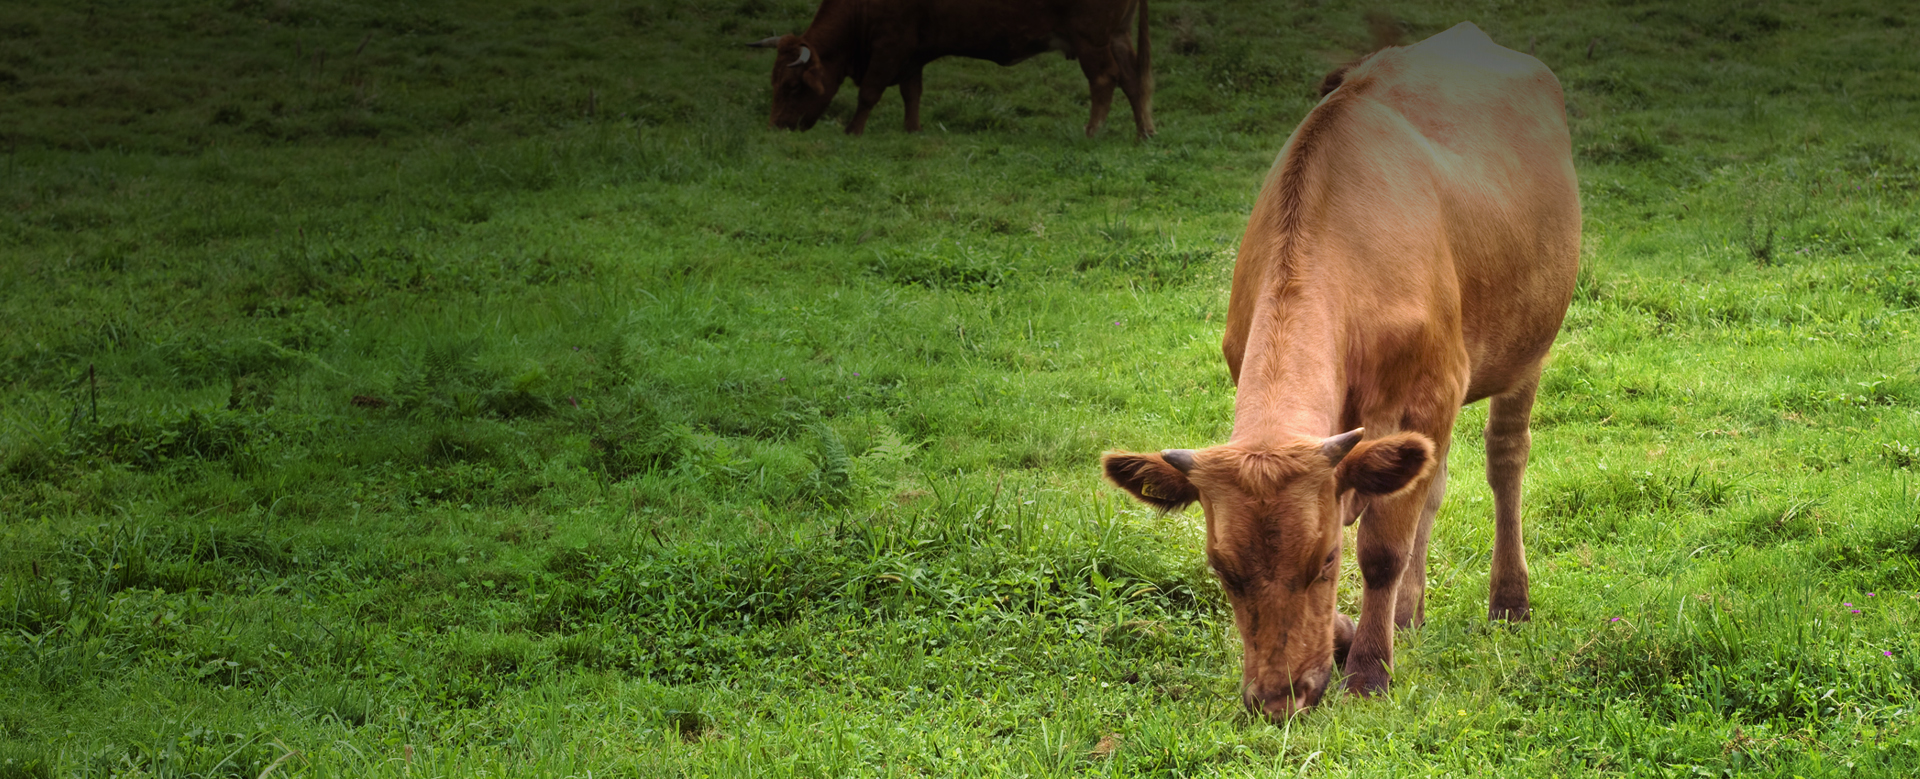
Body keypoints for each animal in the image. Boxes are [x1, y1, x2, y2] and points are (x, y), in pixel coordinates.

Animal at [741, 0, 1144, 137]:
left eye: (793, 86)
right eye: (774, 82)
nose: (774, 127)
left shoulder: (890, 47)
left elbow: (869, 92)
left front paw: (852, 131)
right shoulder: (912, 56)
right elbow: (912, 94)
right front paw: (912, 129)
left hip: (1091, 42)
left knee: (1105, 80)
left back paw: (1093, 131)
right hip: (1118, 37)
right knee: (1133, 81)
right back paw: (1144, 132)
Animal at [1098, 21, 1574, 721]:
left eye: (1324, 561)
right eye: (1222, 569)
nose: (1278, 700)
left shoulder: (1426, 392)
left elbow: (1381, 547)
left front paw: (1369, 669)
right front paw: (1354, 637)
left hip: (1528, 346)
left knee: (1505, 459)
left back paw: (1508, 600)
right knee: (1430, 486)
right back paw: (1407, 614)